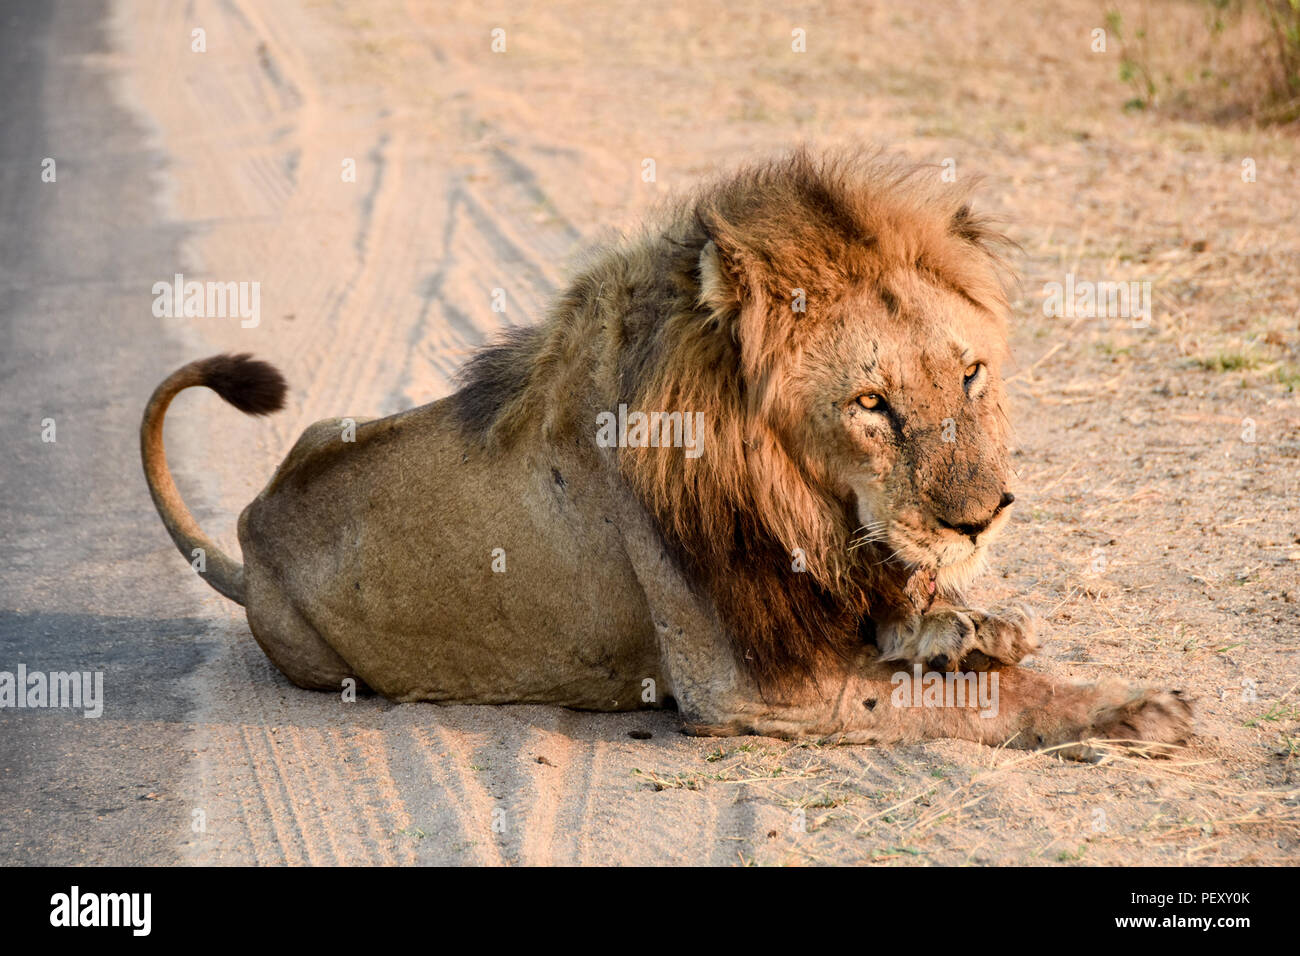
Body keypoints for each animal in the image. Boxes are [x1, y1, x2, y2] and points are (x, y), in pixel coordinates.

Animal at [142, 149, 1190, 759]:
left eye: (970, 375)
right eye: (871, 404)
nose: (981, 519)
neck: (795, 501)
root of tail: (249, 533)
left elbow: (932, 630)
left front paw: (974, 625)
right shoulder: (746, 691)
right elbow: (972, 702)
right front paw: (1123, 709)